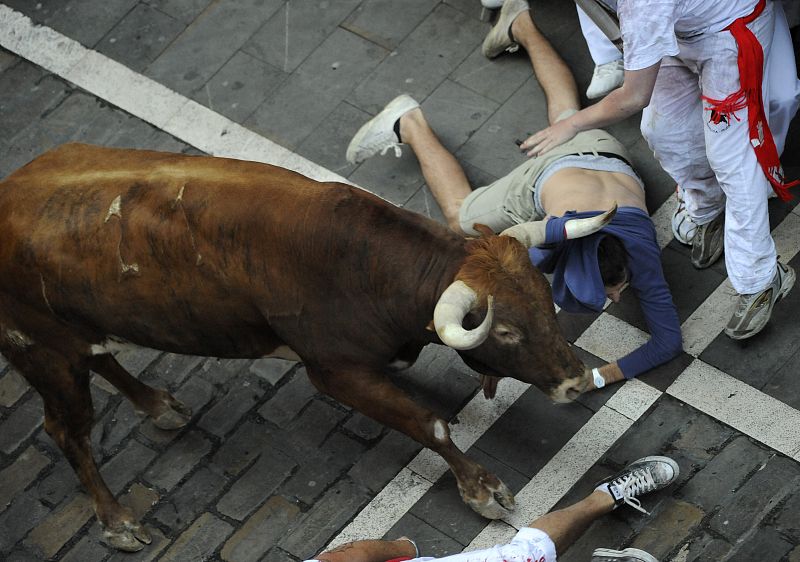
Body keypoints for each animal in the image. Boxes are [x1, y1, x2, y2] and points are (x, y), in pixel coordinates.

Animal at [0, 144, 612, 552]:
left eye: (546, 302)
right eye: (505, 331)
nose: (577, 382)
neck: (363, 264)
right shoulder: (333, 371)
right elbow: (430, 424)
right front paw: (482, 490)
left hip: (78, 337)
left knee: (104, 358)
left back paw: (158, 406)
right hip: (43, 354)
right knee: (66, 430)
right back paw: (118, 521)